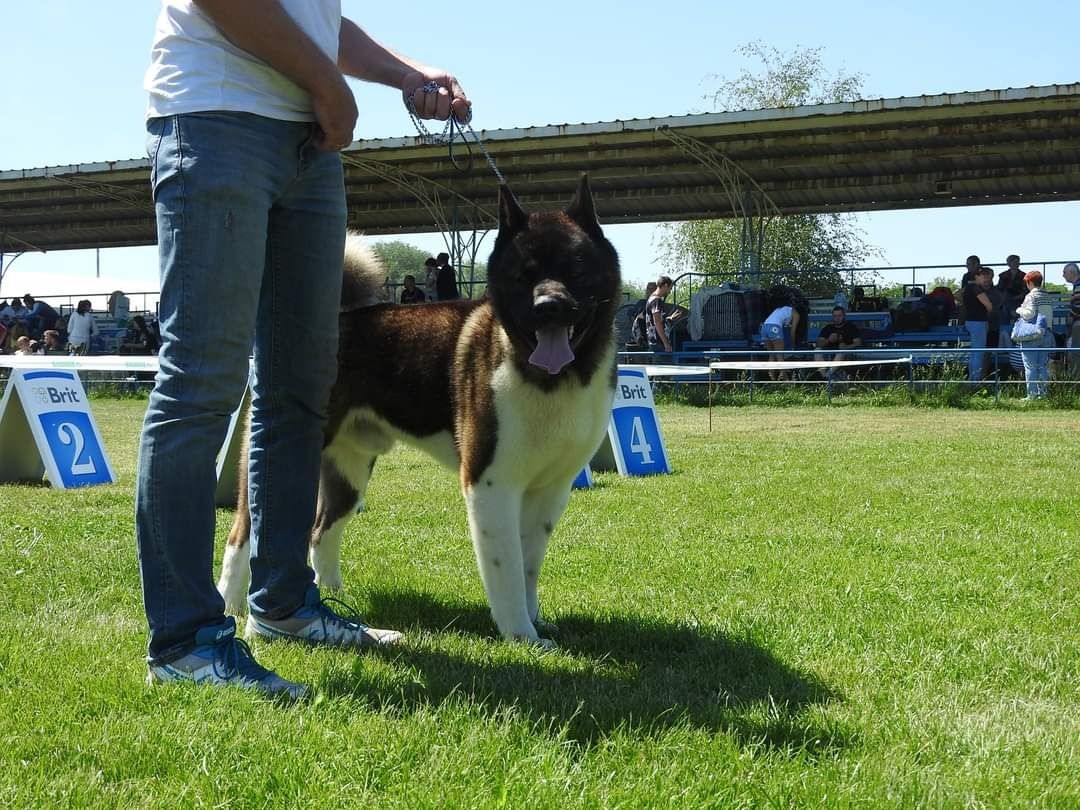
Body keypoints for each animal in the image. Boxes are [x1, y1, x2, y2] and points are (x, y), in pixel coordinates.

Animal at [219, 177, 622, 648]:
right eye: (523, 275)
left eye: (576, 269)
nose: (549, 306)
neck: (549, 375)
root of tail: (341, 319)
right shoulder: (491, 485)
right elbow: (506, 570)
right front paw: (522, 636)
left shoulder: (550, 490)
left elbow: (529, 565)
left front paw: (536, 621)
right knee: (241, 536)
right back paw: (230, 607)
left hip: (349, 474)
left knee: (321, 532)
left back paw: (333, 598)